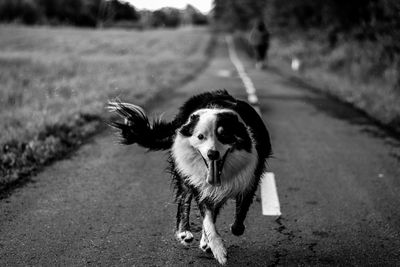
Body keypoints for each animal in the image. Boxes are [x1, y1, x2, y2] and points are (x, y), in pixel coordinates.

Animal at [109, 90, 272, 266]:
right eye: (200, 136)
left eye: (225, 135)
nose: (212, 154)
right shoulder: (200, 184)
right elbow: (207, 219)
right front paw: (219, 250)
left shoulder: (250, 177)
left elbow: (239, 212)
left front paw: (230, 232)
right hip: (185, 172)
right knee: (184, 199)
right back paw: (184, 233)